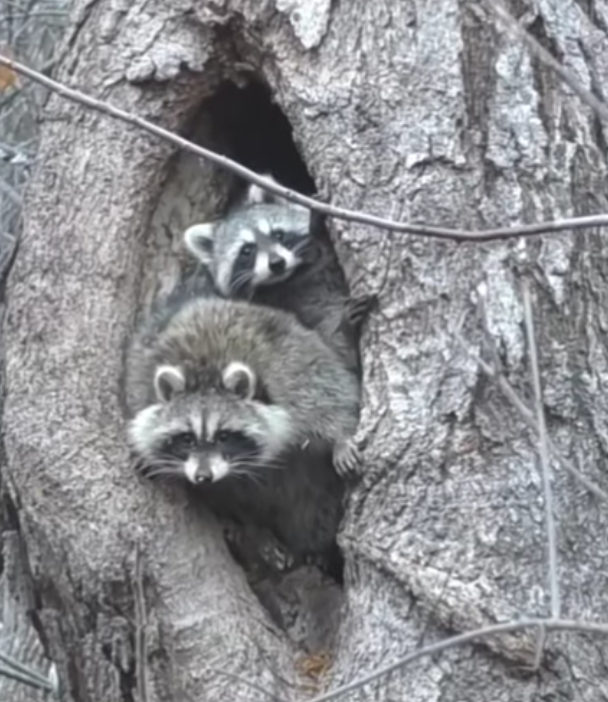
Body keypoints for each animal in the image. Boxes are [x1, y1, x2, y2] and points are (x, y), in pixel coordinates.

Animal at [124, 292, 361, 483]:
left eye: (223, 437)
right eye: (187, 439)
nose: (203, 477)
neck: (206, 372)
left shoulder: (287, 371)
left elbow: (327, 397)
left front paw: (340, 437)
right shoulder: (143, 376)